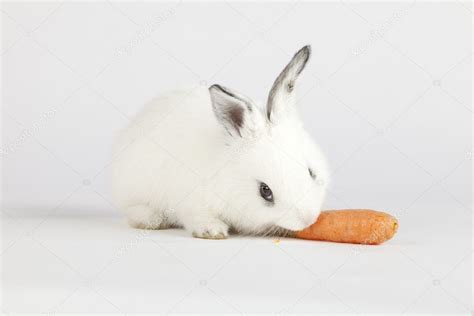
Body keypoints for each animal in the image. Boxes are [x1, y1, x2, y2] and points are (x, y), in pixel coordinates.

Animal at [112, 45, 328, 239]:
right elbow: (196, 216)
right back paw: (150, 220)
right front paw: (212, 231)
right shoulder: (190, 201)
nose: (308, 219)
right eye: (265, 191)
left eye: (311, 172)